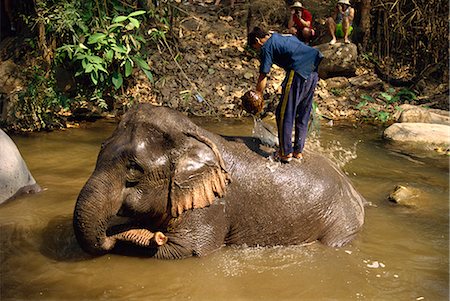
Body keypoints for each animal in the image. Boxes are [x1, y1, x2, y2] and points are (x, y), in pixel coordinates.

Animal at [72, 103, 364, 258]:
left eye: (134, 169)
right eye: (100, 148)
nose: (109, 232)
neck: (193, 135)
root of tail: (354, 190)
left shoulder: (212, 205)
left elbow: (186, 250)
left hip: (342, 222)